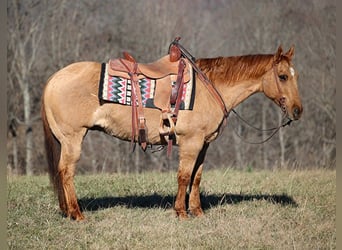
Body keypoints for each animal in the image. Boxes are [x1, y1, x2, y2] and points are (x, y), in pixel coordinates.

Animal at [40, 41, 302, 221]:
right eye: (282, 76)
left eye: (293, 75)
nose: (298, 110)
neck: (210, 87)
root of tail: (54, 79)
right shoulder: (191, 143)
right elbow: (183, 176)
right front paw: (181, 212)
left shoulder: (204, 144)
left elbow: (196, 177)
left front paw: (197, 211)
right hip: (73, 139)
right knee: (66, 172)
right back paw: (77, 214)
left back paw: (68, 211)